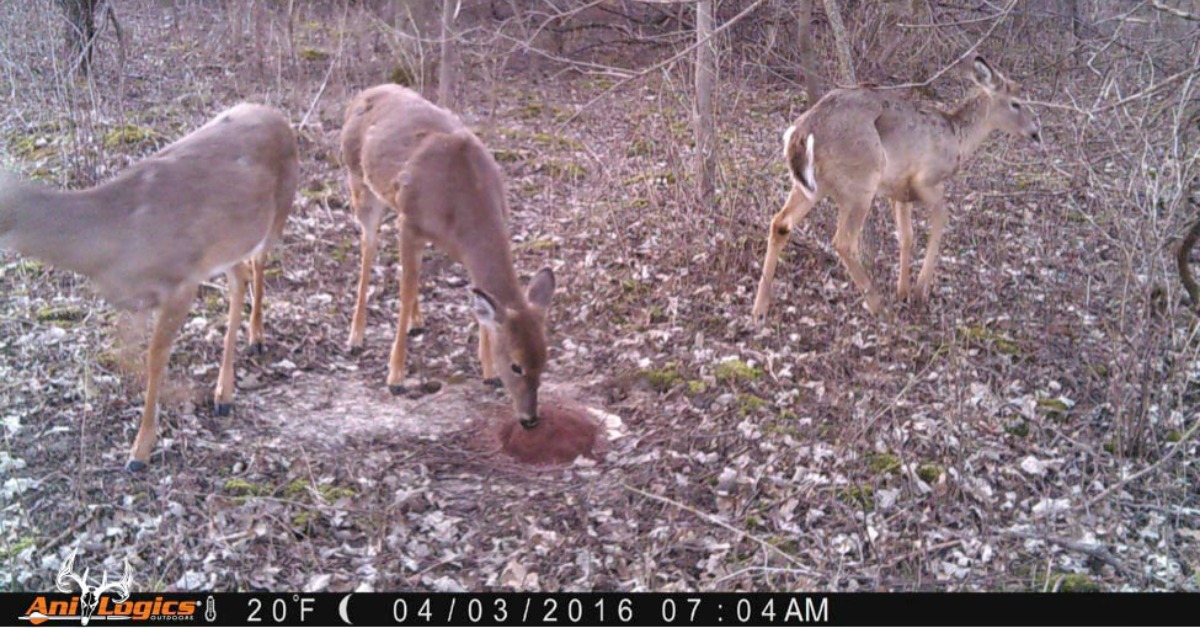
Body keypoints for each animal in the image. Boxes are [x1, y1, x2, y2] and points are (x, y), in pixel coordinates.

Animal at [0, 103, 298, 468]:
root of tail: (276, 115)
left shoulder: (181, 282)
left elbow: (155, 356)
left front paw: (141, 447)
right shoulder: (137, 297)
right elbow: (126, 352)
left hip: (277, 213)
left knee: (258, 263)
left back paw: (254, 343)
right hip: (226, 244)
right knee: (240, 274)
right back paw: (224, 392)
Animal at [343, 84, 556, 432]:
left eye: (544, 360)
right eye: (516, 365)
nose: (530, 419)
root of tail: (363, 94)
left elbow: (478, 305)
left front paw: (488, 372)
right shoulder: (410, 223)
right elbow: (404, 292)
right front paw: (395, 376)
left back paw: (417, 322)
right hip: (359, 181)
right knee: (368, 246)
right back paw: (355, 337)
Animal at [748, 55, 1041, 321]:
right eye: (1016, 103)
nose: (1036, 131)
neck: (957, 138)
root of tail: (802, 131)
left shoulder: (899, 191)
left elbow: (906, 236)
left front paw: (903, 291)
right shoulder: (926, 180)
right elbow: (941, 219)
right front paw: (920, 291)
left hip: (813, 185)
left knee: (780, 222)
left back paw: (759, 308)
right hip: (861, 181)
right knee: (843, 240)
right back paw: (877, 305)